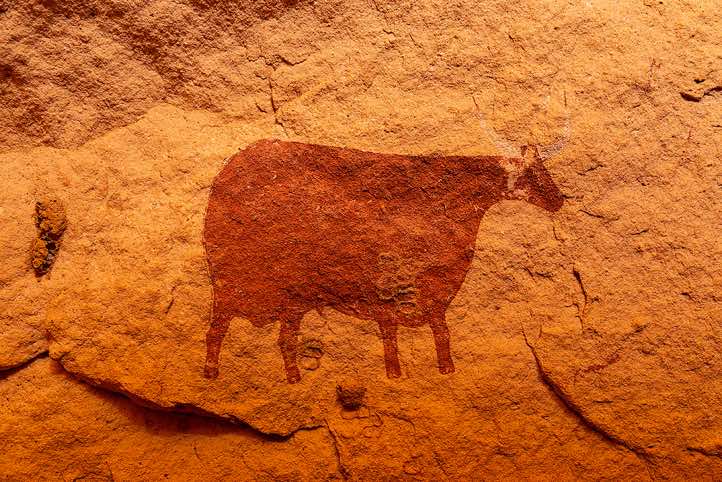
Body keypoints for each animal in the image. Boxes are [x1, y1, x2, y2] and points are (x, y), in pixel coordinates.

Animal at [202, 139, 564, 383]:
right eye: (535, 174)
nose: (561, 199)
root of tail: (225, 173)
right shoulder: (393, 289)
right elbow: (398, 333)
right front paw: (397, 374)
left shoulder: (431, 292)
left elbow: (438, 331)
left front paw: (441, 370)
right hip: (233, 287)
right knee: (217, 331)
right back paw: (212, 373)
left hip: (287, 299)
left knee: (281, 338)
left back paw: (290, 379)